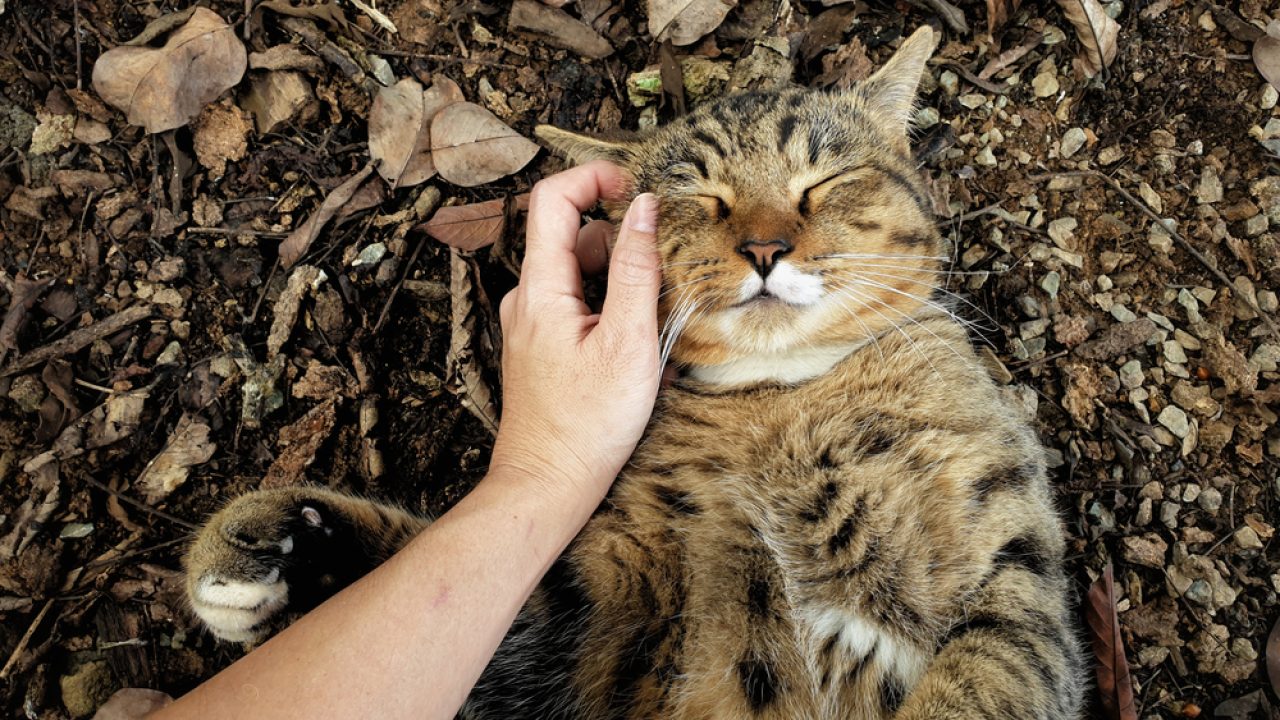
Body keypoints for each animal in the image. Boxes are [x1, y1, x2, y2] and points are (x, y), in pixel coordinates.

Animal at [185, 25, 1085, 712]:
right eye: (699, 194)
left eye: (824, 181)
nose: (765, 247)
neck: (778, 402)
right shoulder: (598, 617)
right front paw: (286, 545)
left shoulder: (1014, 586)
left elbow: (983, 684)